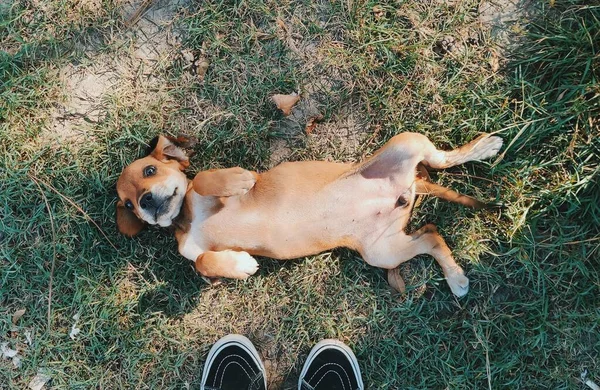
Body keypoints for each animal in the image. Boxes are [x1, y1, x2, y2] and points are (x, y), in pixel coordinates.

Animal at [117, 132, 502, 296]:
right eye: (128, 203)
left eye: (150, 170)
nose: (147, 202)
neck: (186, 217)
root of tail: (409, 188)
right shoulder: (195, 253)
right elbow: (202, 262)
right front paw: (240, 264)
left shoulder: (213, 185)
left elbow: (205, 178)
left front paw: (237, 179)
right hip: (384, 251)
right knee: (432, 236)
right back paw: (456, 277)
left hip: (407, 142)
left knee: (444, 159)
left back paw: (483, 147)